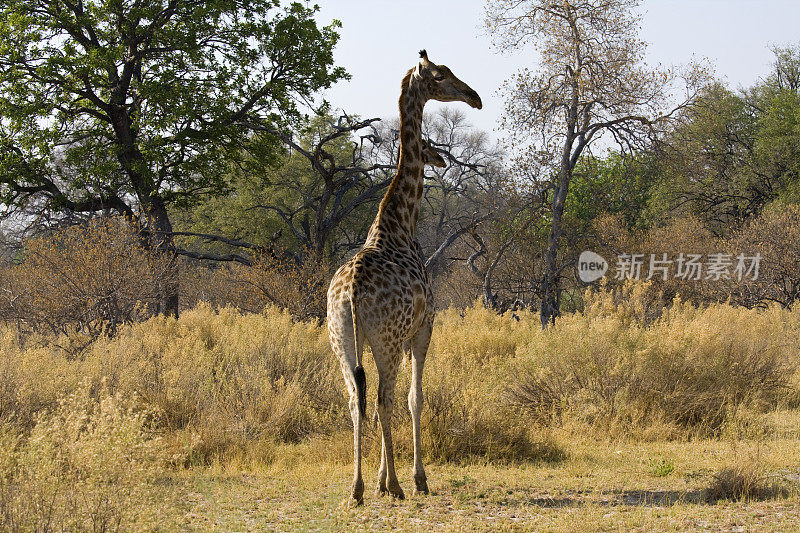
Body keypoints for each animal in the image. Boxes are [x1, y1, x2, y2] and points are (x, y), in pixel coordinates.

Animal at [326, 50, 482, 502]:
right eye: (442, 75)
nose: (475, 97)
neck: (400, 221)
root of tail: (351, 293)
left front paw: (380, 479)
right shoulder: (424, 328)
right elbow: (416, 398)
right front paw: (417, 478)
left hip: (342, 340)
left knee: (355, 400)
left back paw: (357, 488)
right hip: (388, 340)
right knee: (383, 400)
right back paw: (394, 486)